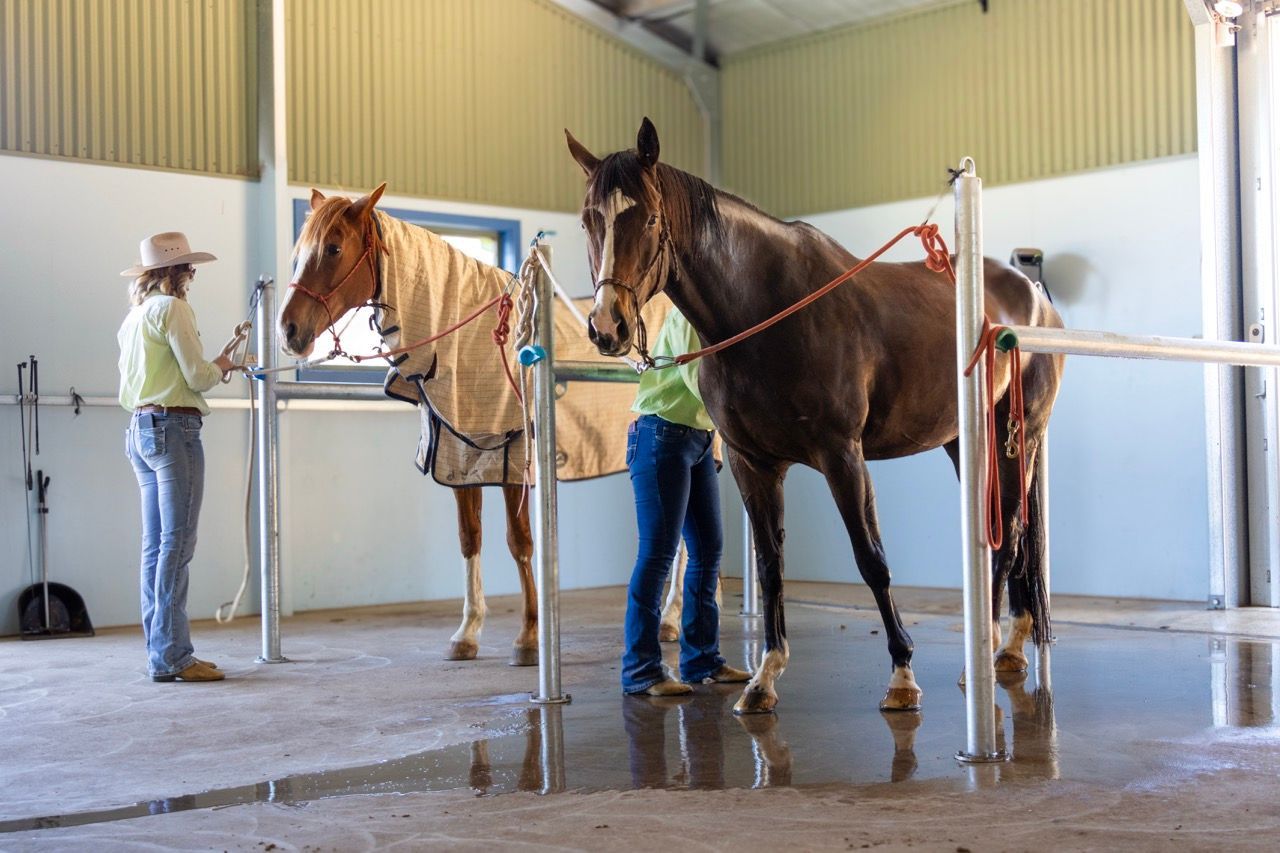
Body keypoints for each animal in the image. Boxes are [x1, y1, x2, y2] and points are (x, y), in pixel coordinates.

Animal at [567, 118, 1065, 715]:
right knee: (1000, 535)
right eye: (589, 219)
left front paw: (902, 675)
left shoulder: (842, 455)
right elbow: (770, 564)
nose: (606, 327)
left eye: (650, 218)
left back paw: (993, 651)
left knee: (1011, 532)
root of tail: (1034, 295)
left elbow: (871, 559)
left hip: (1021, 438)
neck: (767, 309)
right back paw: (997, 648)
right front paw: (764, 677)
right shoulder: (751, 464)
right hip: (966, 442)